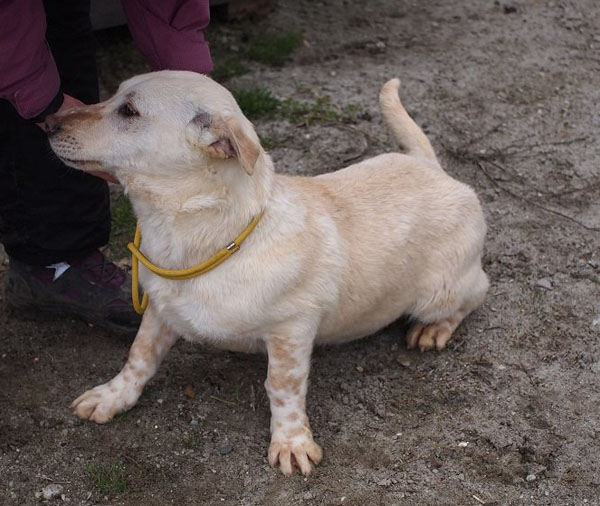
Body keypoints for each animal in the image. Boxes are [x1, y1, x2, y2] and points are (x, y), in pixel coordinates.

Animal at [47, 72, 488, 478]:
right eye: (116, 95)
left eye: (129, 111)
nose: (47, 121)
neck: (198, 237)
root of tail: (431, 166)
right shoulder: (160, 309)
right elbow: (138, 356)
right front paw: (111, 397)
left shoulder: (291, 329)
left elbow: (282, 386)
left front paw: (291, 442)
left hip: (440, 293)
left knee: (477, 292)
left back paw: (432, 330)